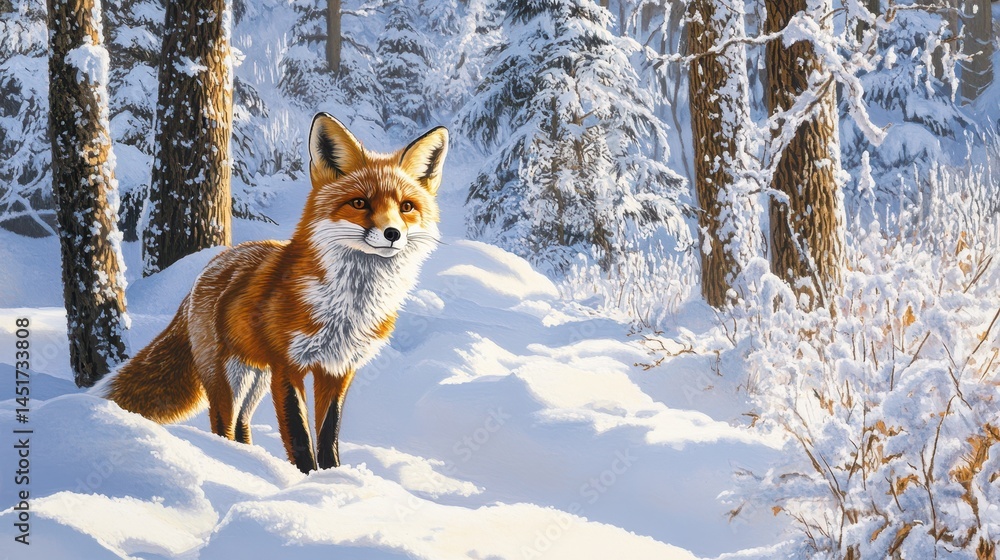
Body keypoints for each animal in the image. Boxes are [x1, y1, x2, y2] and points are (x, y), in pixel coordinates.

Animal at [99, 113, 447, 473]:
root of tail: (208, 269)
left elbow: (329, 433)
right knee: (222, 423)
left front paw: (333, 476)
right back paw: (229, 460)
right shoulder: (288, 364)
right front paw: (307, 477)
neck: (347, 306)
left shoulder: (337, 369)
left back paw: (249, 458)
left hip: (256, 378)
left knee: (241, 424)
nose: (392, 233)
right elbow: (298, 432)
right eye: (359, 203)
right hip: (228, 378)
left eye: (406, 207)